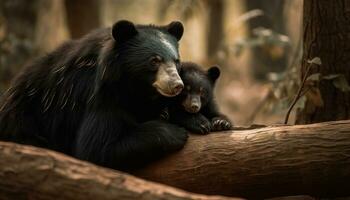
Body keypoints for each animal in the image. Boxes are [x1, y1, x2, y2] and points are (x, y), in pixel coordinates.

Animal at [0, 20, 189, 170]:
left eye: (176, 61)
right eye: (154, 60)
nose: (176, 85)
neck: (133, 85)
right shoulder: (99, 95)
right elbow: (97, 148)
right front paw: (175, 133)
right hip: (25, 123)